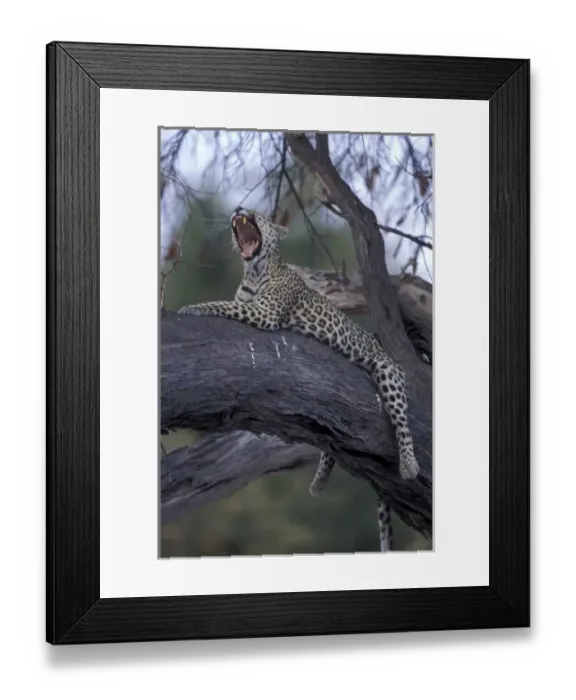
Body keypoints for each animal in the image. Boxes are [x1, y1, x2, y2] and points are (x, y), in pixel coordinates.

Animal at [178, 206, 421, 552]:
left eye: (257, 214)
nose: (239, 209)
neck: (253, 272)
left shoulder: (263, 312)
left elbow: (221, 305)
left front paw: (190, 308)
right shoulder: (249, 304)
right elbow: (228, 303)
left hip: (388, 372)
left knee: (400, 419)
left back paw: (409, 465)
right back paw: (318, 482)